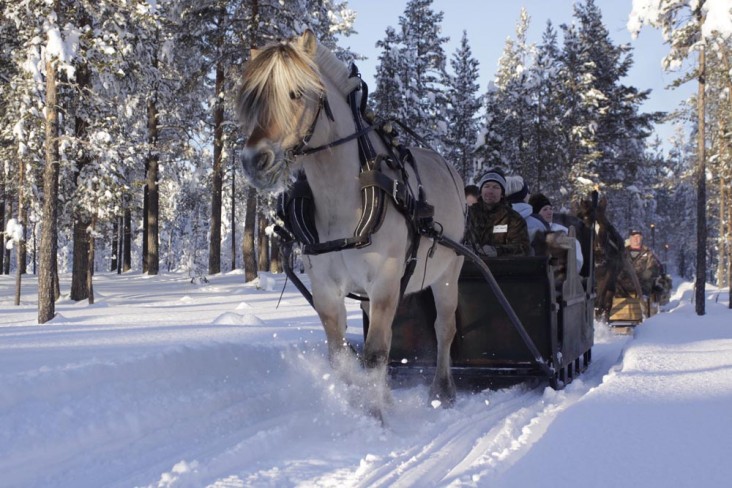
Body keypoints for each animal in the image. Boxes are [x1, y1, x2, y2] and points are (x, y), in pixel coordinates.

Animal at [236, 30, 464, 410]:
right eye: (250, 99)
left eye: (296, 93)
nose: (255, 160)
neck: (342, 201)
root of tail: (451, 168)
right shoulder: (326, 288)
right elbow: (341, 355)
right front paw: (358, 405)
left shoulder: (385, 281)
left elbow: (374, 355)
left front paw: (374, 414)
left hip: (449, 273)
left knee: (444, 329)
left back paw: (442, 391)